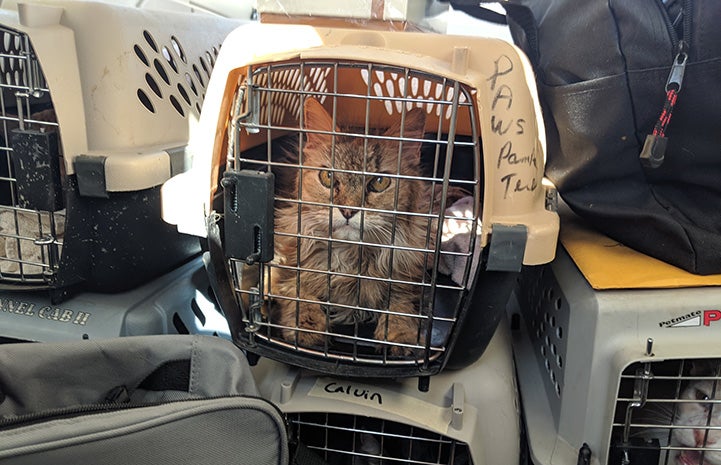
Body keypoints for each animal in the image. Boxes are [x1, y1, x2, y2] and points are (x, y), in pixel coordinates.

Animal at [184, 22, 556, 376]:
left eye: (378, 182)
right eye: (328, 178)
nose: (348, 211)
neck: (351, 258)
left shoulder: (408, 280)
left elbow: (400, 306)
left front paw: (400, 336)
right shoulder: (281, 267)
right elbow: (297, 292)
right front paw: (307, 328)